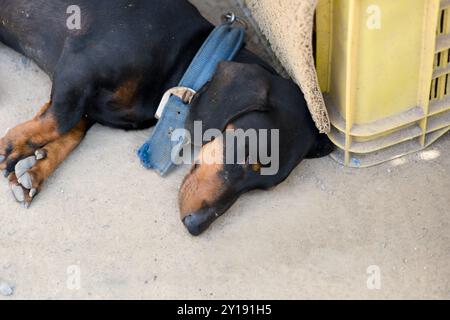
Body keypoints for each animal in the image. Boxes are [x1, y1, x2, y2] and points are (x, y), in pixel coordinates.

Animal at [0, 0, 334, 235]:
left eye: (262, 187)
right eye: (247, 153)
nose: (196, 226)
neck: (185, 57)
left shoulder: (90, 101)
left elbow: (71, 129)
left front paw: (36, 168)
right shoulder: (79, 65)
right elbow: (61, 118)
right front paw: (12, 146)